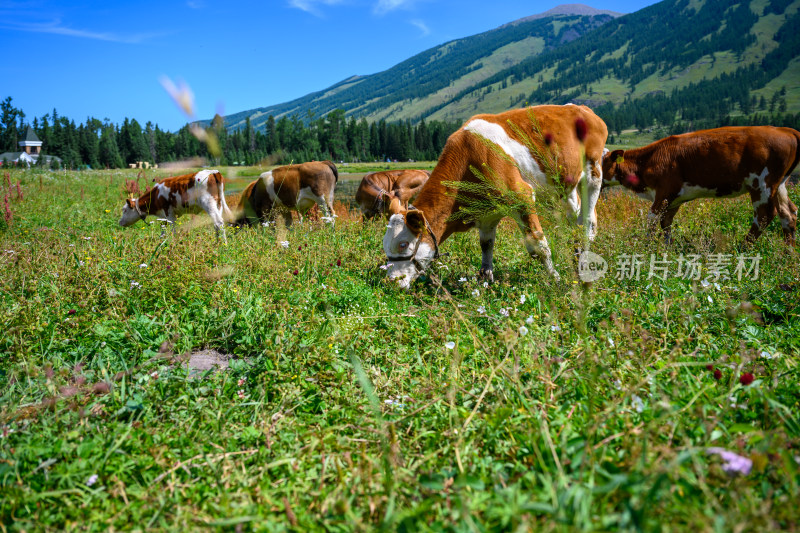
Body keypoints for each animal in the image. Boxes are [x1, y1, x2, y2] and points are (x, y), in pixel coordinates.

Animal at [382, 103, 608, 286]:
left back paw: (584, 259)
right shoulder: (486, 212)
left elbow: (538, 246)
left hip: (593, 171)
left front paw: (555, 279)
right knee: (575, 218)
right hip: (566, 185)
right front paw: (485, 280)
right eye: (385, 246)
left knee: (588, 221)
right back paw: (576, 252)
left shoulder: (522, 197)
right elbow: (486, 245)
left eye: (403, 244)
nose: (392, 282)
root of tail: (581, 108)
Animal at [604, 127, 796, 245]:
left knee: (764, 215)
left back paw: (743, 249)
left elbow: (652, 219)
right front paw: (667, 247)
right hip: (778, 184)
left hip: (762, 183)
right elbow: (666, 222)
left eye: (601, 162)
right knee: (788, 213)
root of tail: (786, 130)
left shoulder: (664, 191)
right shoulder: (675, 198)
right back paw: (788, 253)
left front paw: (646, 247)